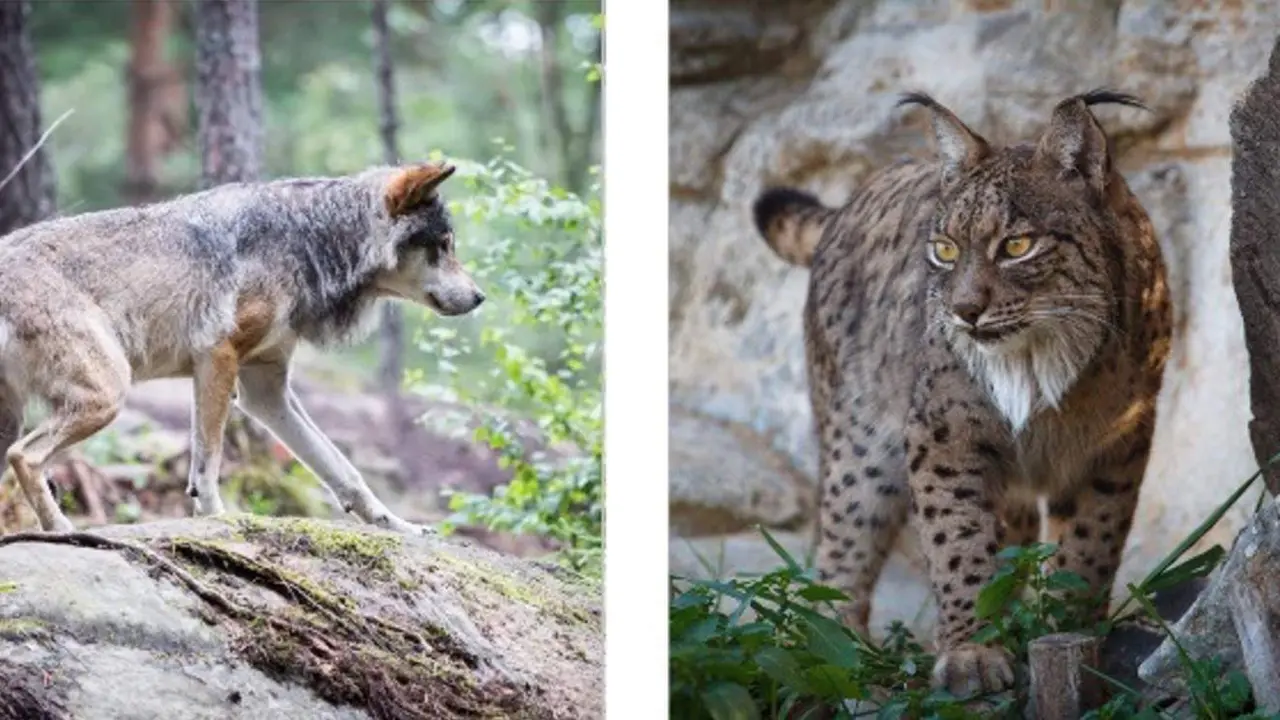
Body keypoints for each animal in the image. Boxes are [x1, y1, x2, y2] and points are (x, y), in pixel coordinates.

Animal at [0, 161, 483, 534]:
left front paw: (398, 525)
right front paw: (217, 519)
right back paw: (61, 528)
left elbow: (343, 470)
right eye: (444, 246)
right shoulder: (219, 356)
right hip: (108, 394)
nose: (480, 297)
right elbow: (208, 465)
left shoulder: (266, 391)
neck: (309, 241)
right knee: (24, 455)